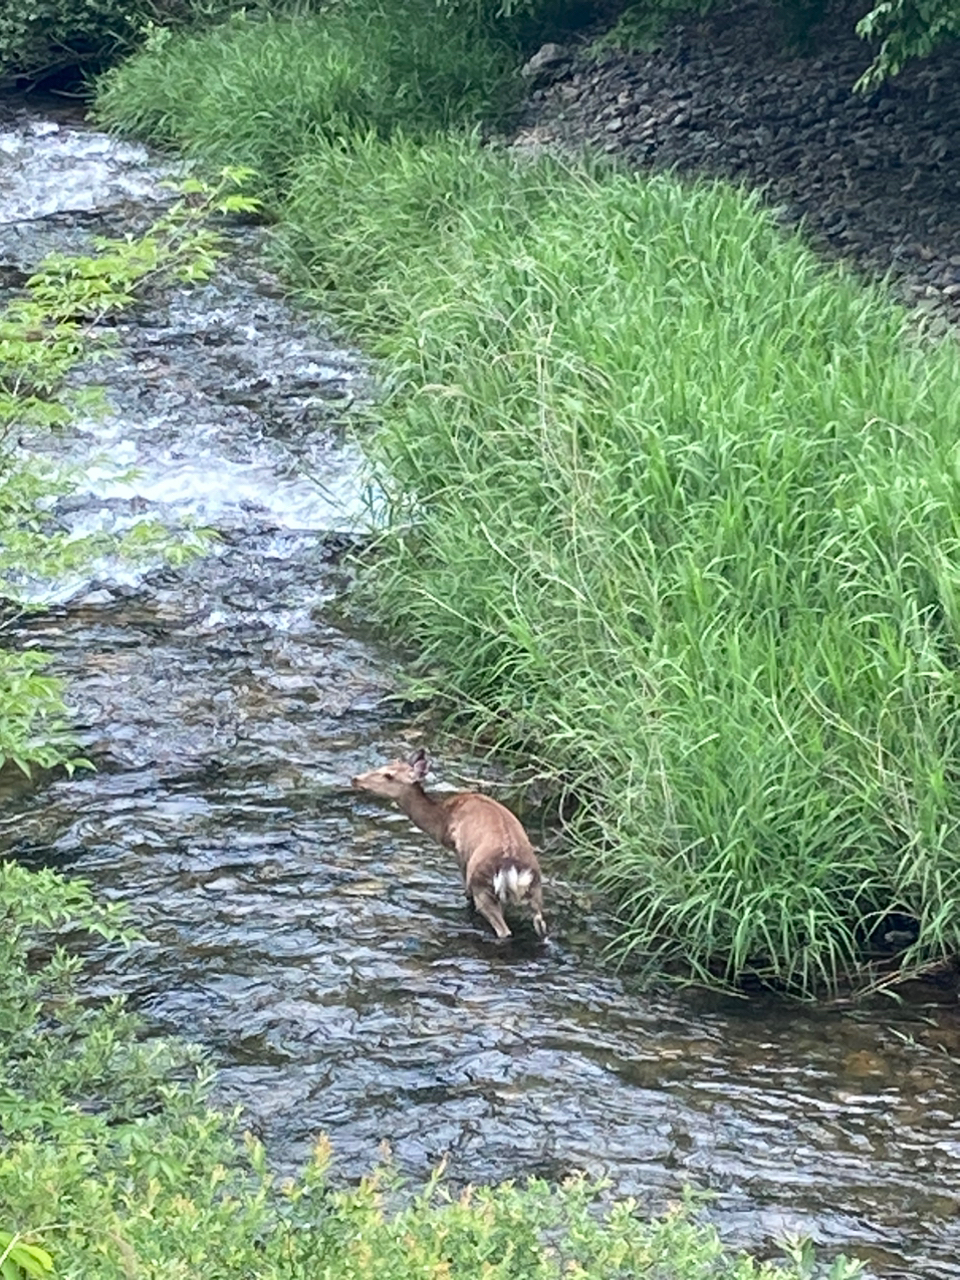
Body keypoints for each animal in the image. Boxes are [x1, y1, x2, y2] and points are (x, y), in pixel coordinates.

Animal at [353, 747, 547, 947]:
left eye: (389, 775)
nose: (355, 779)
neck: (443, 819)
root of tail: (512, 870)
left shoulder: (460, 852)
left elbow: (466, 892)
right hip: (535, 889)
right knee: (540, 924)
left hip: (483, 886)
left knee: (503, 929)